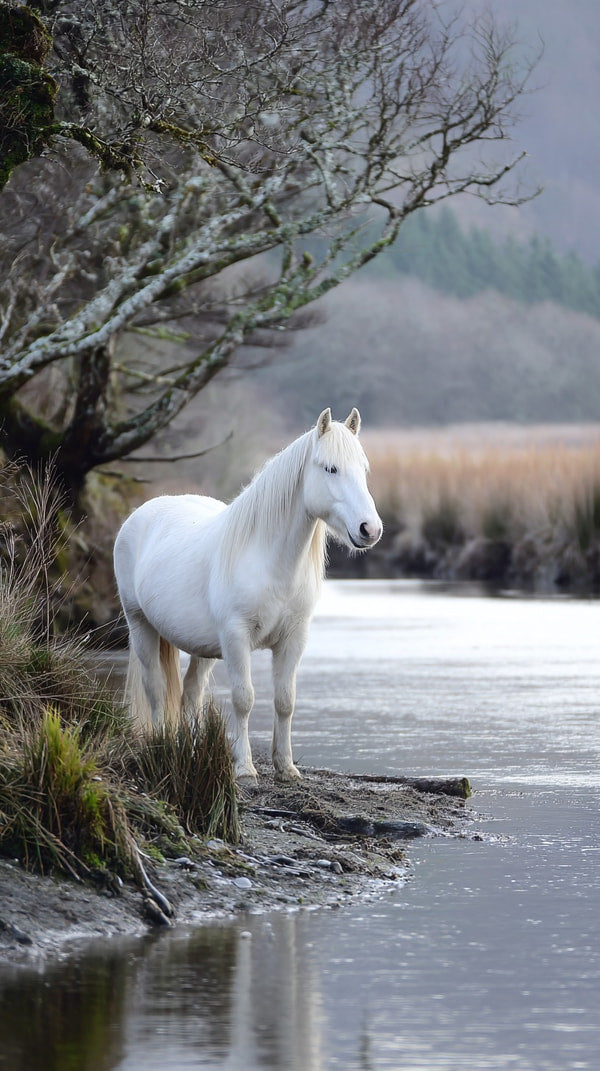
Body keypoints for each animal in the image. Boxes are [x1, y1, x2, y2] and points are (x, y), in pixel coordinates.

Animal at [113, 407, 382, 781]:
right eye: (330, 468)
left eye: (364, 469)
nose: (370, 529)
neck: (270, 561)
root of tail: (140, 515)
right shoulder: (236, 637)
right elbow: (244, 699)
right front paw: (244, 768)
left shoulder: (293, 640)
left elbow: (285, 700)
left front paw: (286, 767)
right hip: (141, 626)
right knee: (155, 687)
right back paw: (162, 746)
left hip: (202, 649)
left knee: (190, 693)